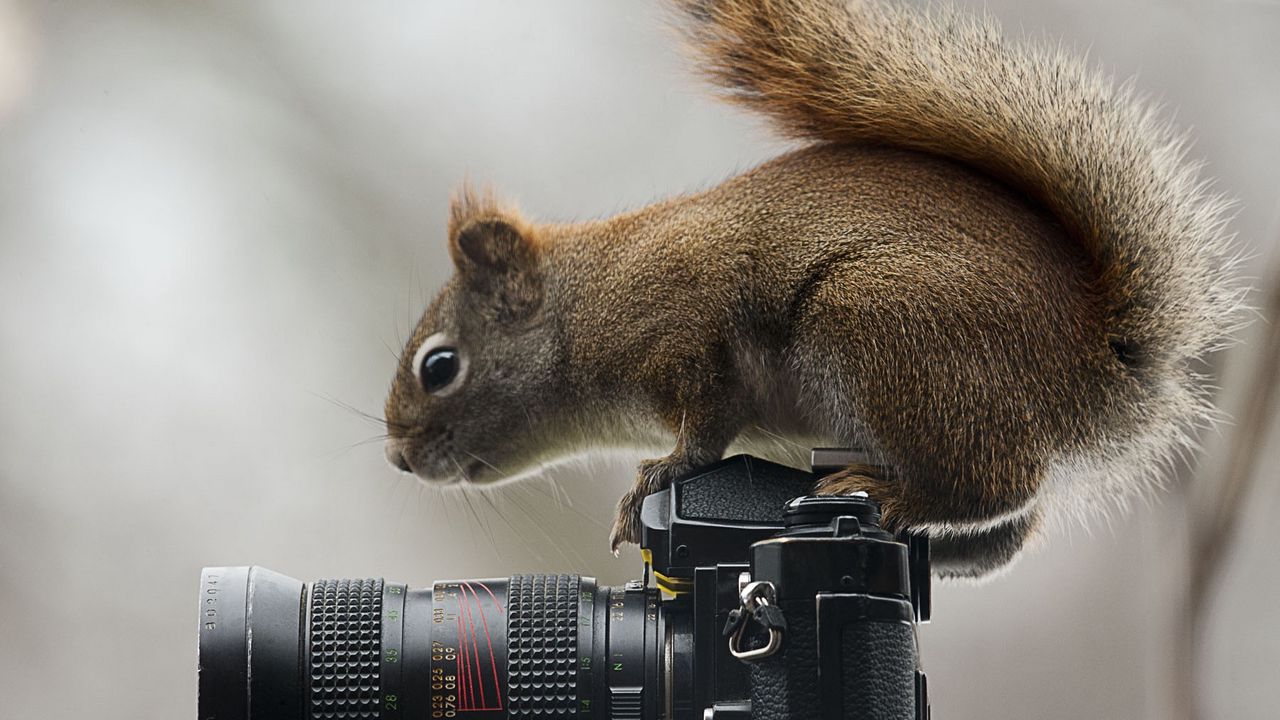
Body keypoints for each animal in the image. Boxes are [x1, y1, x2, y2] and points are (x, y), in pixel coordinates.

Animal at [376, 0, 1239, 571]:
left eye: (440, 366)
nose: (399, 459)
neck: (590, 302)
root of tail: (1098, 362)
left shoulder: (686, 334)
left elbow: (705, 426)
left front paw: (660, 475)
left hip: (881, 330)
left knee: (993, 483)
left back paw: (894, 501)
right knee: (1008, 532)